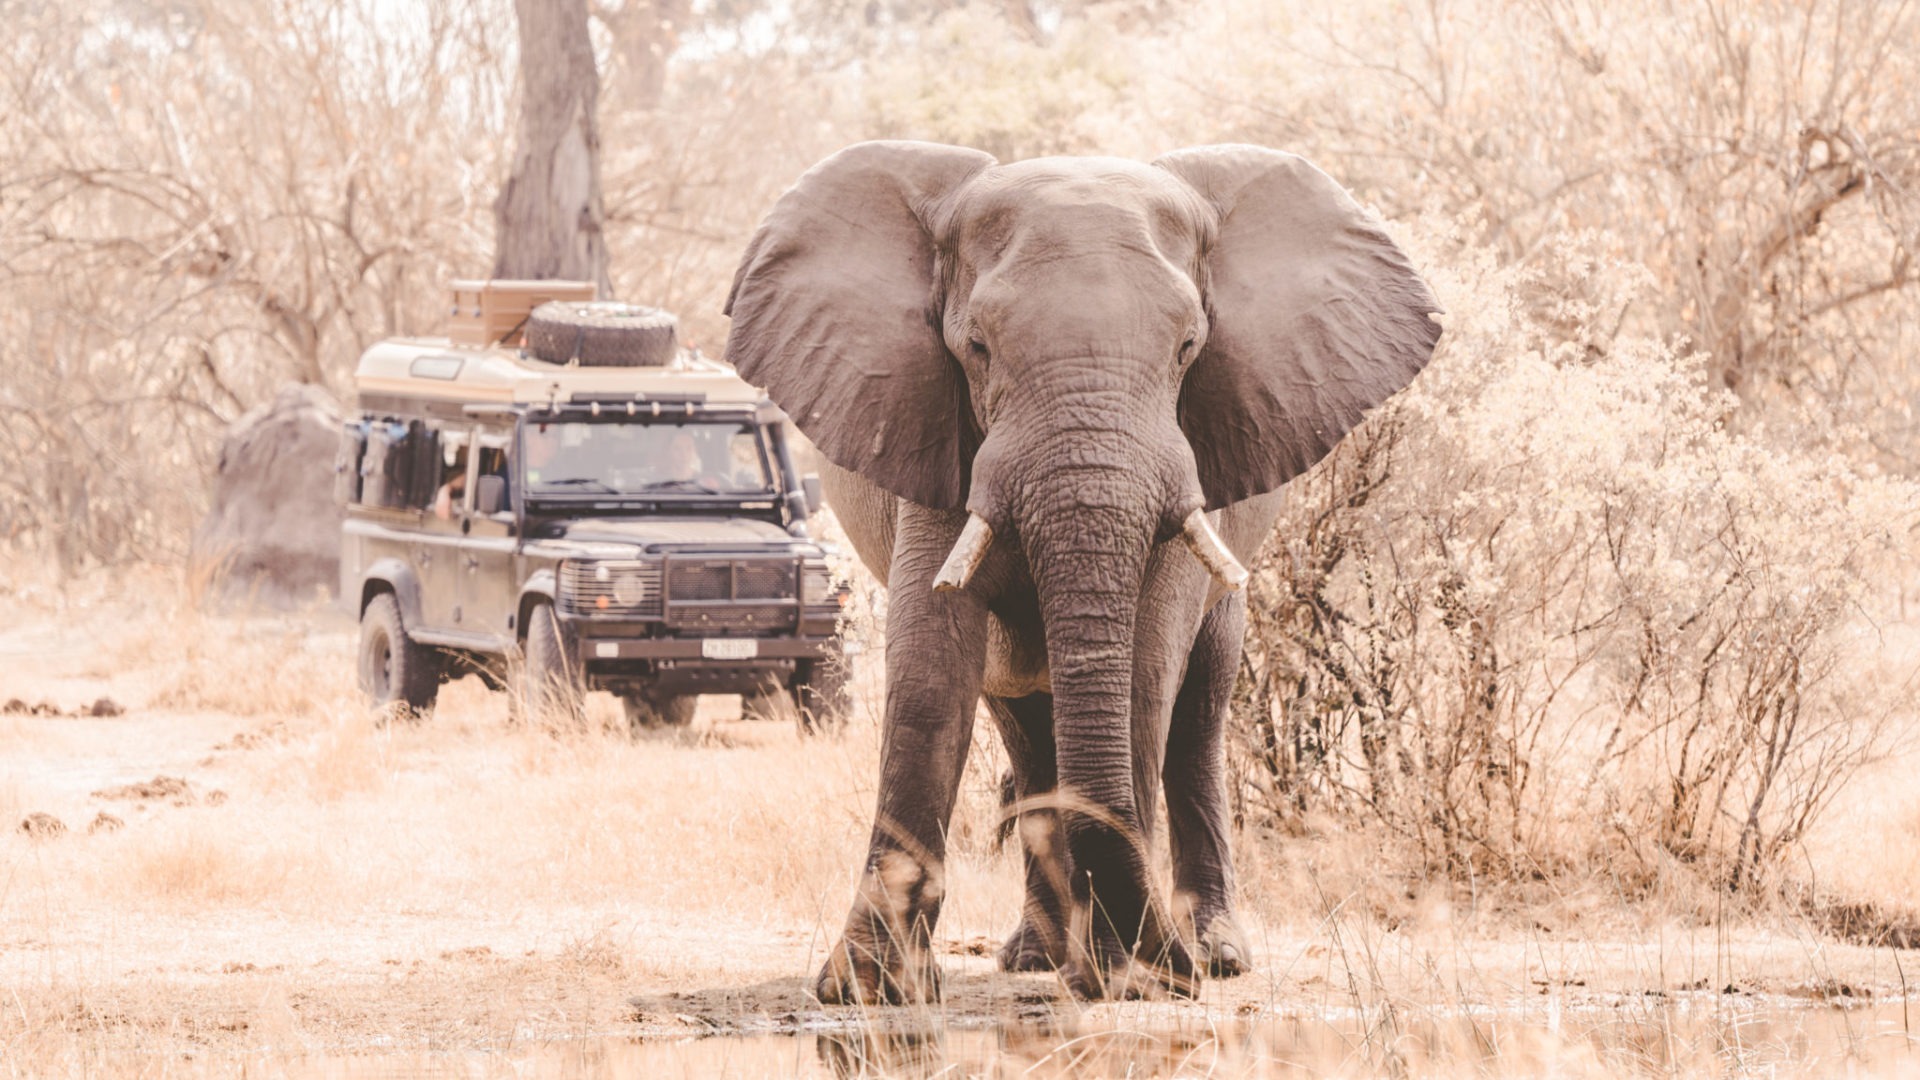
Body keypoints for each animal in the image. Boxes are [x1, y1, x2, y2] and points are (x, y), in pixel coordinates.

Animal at [723, 141, 1441, 1003]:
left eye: (1188, 349)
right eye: (977, 349)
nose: (1165, 965)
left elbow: (1147, 668)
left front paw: (1128, 977)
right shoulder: (938, 437)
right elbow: (932, 670)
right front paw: (871, 989)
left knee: (1198, 716)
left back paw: (1203, 955)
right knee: (1023, 725)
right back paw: (1038, 958)